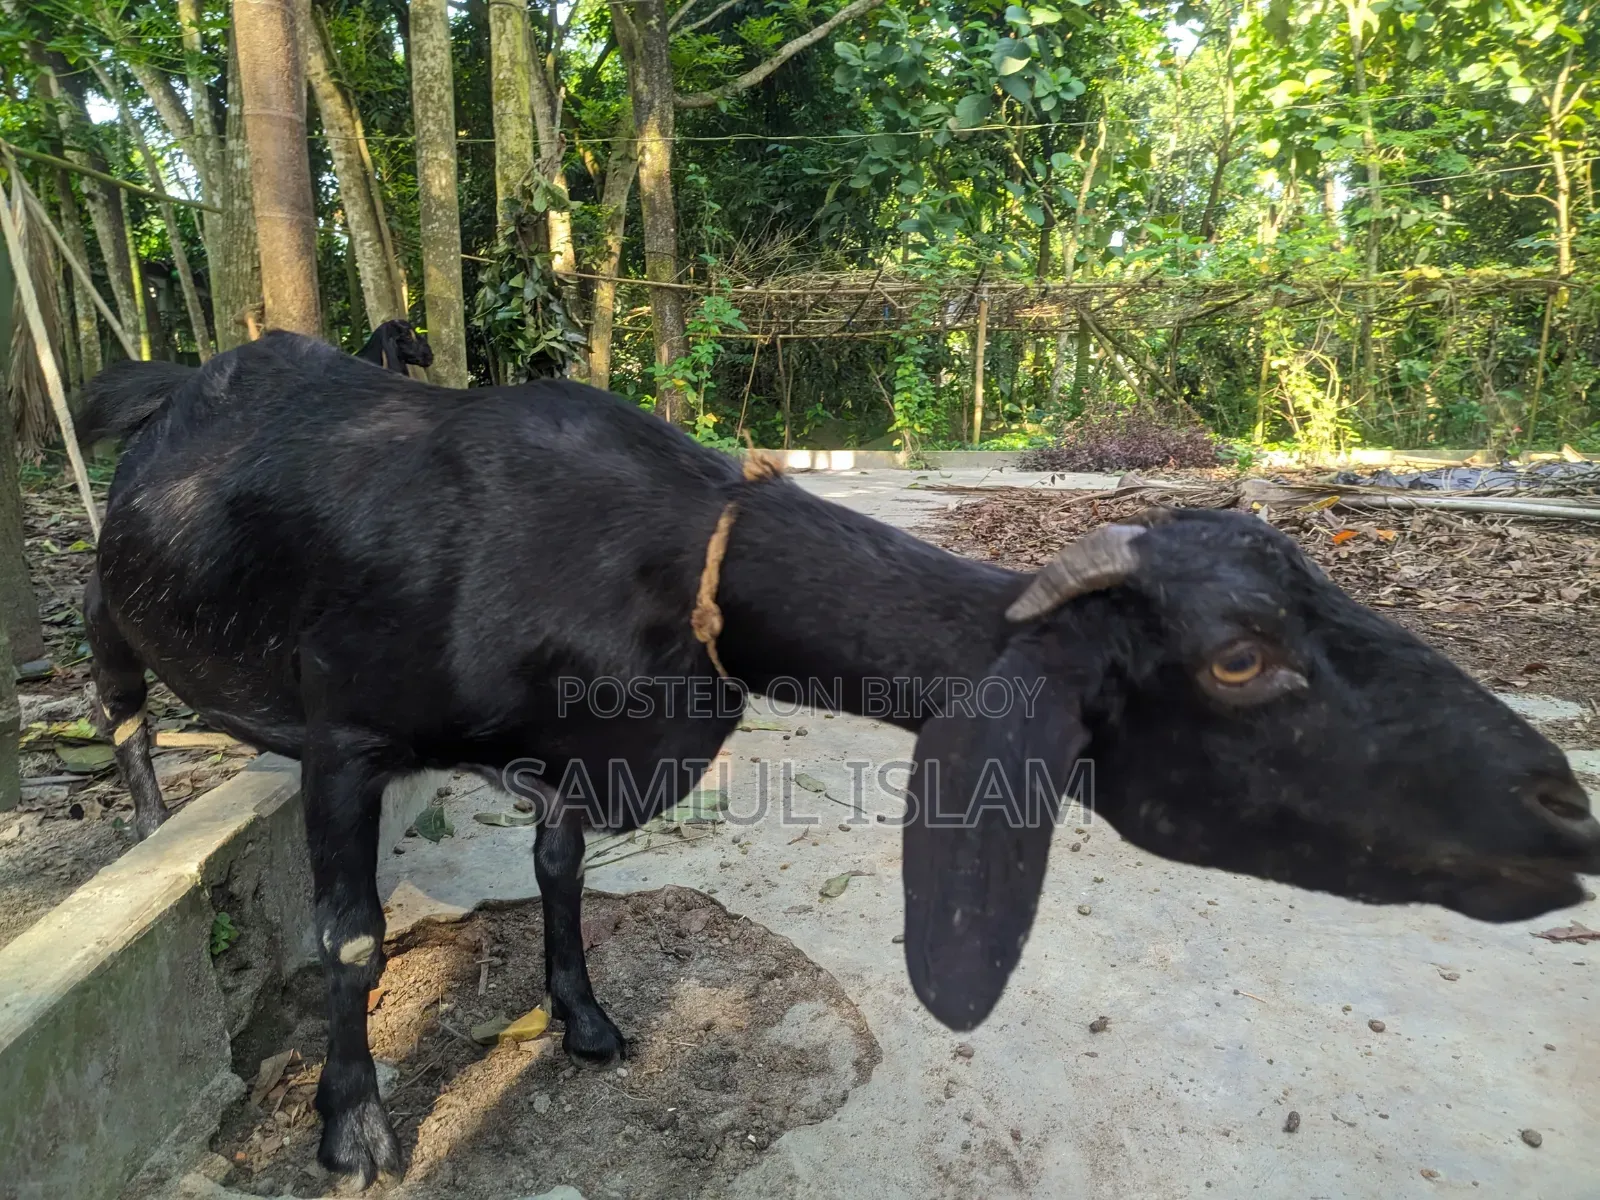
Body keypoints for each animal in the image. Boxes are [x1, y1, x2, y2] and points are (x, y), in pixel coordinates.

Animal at [80, 332, 1598, 1188]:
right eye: (1237, 658)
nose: (1564, 808)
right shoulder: (345, 737)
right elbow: (348, 940)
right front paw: (351, 1134)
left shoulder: (590, 752)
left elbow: (561, 866)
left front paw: (584, 1019)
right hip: (109, 609)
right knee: (118, 714)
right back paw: (140, 819)